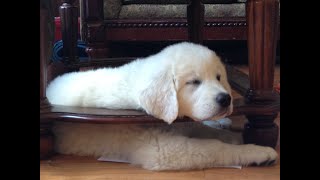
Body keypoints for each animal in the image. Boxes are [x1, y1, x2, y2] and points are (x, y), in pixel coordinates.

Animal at [45, 41, 278, 170]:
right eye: (194, 82)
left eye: (219, 77)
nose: (225, 99)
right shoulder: (162, 150)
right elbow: (213, 147)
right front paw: (258, 152)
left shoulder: (181, 123)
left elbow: (202, 129)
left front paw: (231, 136)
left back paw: (222, 123)